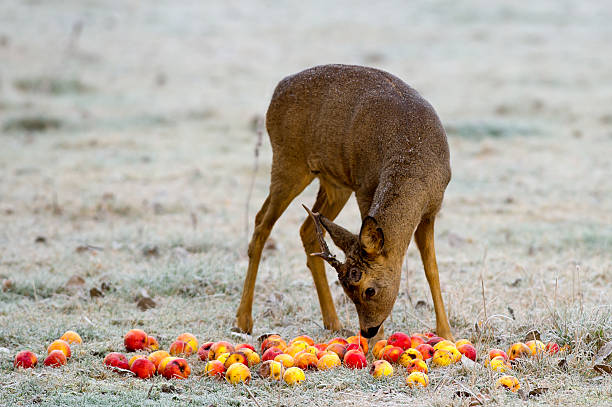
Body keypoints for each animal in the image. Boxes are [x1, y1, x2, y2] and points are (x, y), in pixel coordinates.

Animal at [237, 64, 452, 342]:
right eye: (349, 290)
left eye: (369, 290)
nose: (368, 330)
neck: (413, 152)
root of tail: (279, 88)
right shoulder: (365, 188)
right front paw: (379, 344)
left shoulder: (431, 209)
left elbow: (431, 269)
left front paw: (446, 333)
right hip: (288, 162)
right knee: (262, 223)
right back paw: (243, 321)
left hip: (334, 184)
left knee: (305, 229)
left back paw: (333, 323)